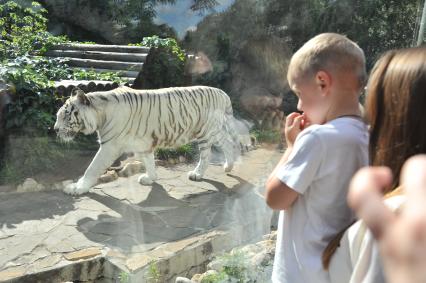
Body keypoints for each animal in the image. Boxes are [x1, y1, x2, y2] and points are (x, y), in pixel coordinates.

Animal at [54, 84, 240, 195]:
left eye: (65, 115)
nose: (55, 129)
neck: (101, 114)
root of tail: (222, 93)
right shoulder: (143, 144)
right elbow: (149, 161)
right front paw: (150, 178)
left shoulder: (110, 146)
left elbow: (92, 168)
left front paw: (77, 188)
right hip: (214, 130)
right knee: (227, 142)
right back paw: (228, 166)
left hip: (205, 132)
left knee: (207, 154)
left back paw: (197, 174)